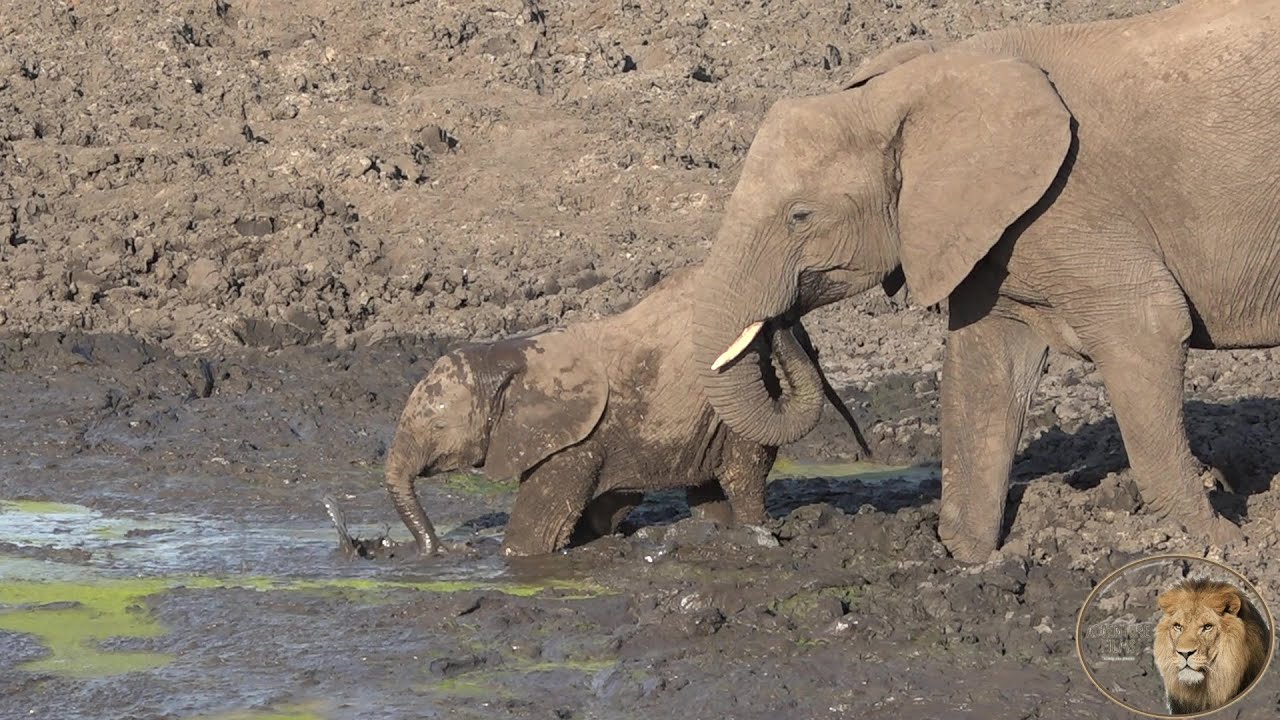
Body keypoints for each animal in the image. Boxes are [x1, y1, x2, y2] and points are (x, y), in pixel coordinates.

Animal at [383, 265, 870, 557]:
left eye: (439, 425)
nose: (435, 551)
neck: (510, 354)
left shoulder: (574, 443)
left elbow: (535, 534)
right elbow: (602, 509)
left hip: (745, 401)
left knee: (741, 476)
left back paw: (752, 533)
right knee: (705, 491)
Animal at [691, 0, 1280, 563]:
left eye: (800, 216)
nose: (783, 327)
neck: (915, 88)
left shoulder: (1071, 208)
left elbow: (1149, 330)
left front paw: (1220, 541)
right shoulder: (994, 233)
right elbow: (983, 370)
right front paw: (968, 556)